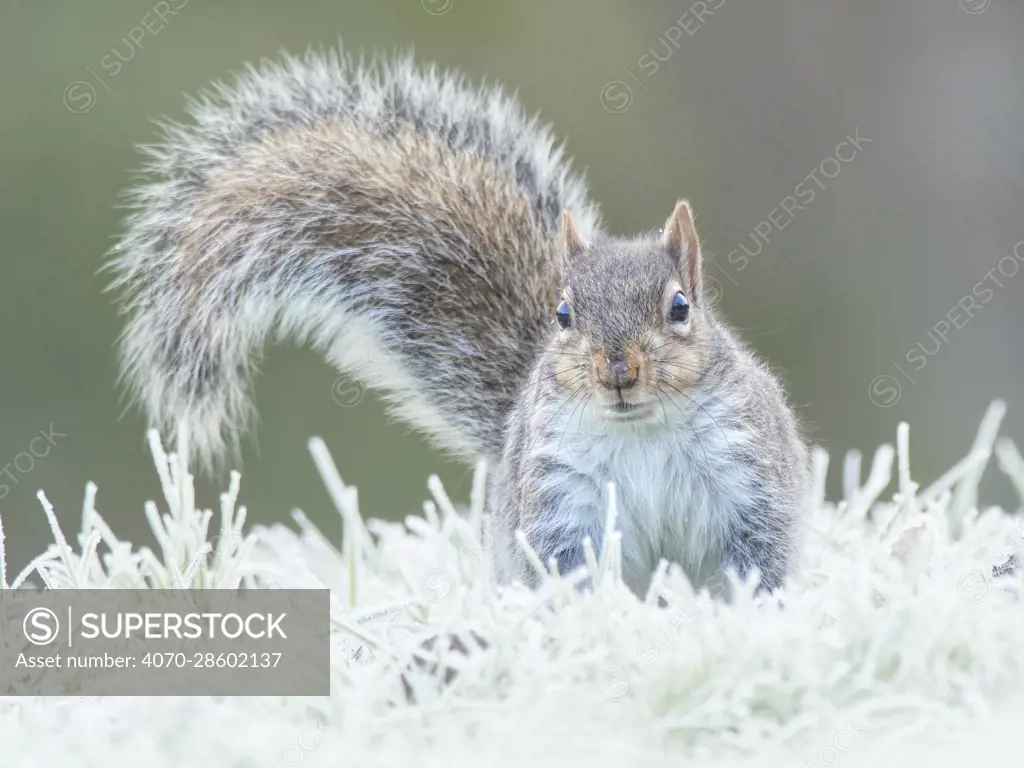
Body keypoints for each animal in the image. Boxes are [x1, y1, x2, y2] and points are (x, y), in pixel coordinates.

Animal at [108, 46, 811, 593]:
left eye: (679, 308)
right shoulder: (559, 500)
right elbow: (565, 571)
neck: (640, 429)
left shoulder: (748, 475)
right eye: (562, 314)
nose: (617, 370)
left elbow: (760, 557)